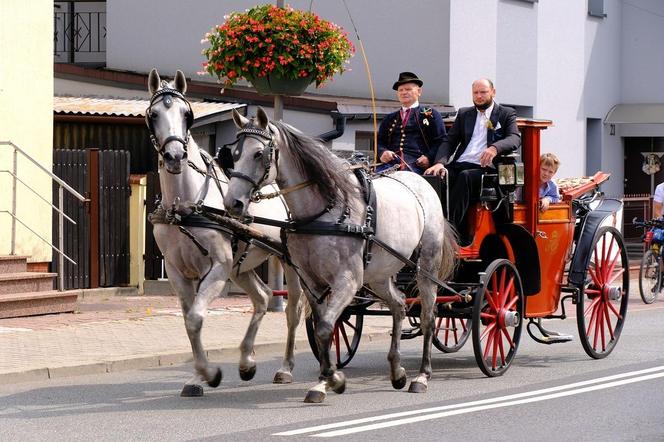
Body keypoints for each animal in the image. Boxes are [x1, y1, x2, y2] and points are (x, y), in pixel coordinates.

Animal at [147, 71, 304, 396]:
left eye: (186, 115)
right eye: (154, 115)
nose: (175, 156)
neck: (185, 204)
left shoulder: (218, 267)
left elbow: (196, 317)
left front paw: (210, 373)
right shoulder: (178, 271)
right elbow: (189, 321)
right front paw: (197, 377)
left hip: (288, 263)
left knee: (293, 310)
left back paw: (285, 368)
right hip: (240, 266)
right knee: (262, 297)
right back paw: (246, 362)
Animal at [223, 108, 456, 404]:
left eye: (258, 154)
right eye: (234, 153)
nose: (232, 203)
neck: (323, 211)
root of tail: (419, 181)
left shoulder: (347, 280)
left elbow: (325, 327)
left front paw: (332, 379)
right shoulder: (312, 281)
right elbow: (323, 327)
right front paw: (326, 378)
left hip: (426, 266)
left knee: (428, 316)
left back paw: (422, 376)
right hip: (379, 273)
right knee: (399, 305)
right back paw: (397, 370)